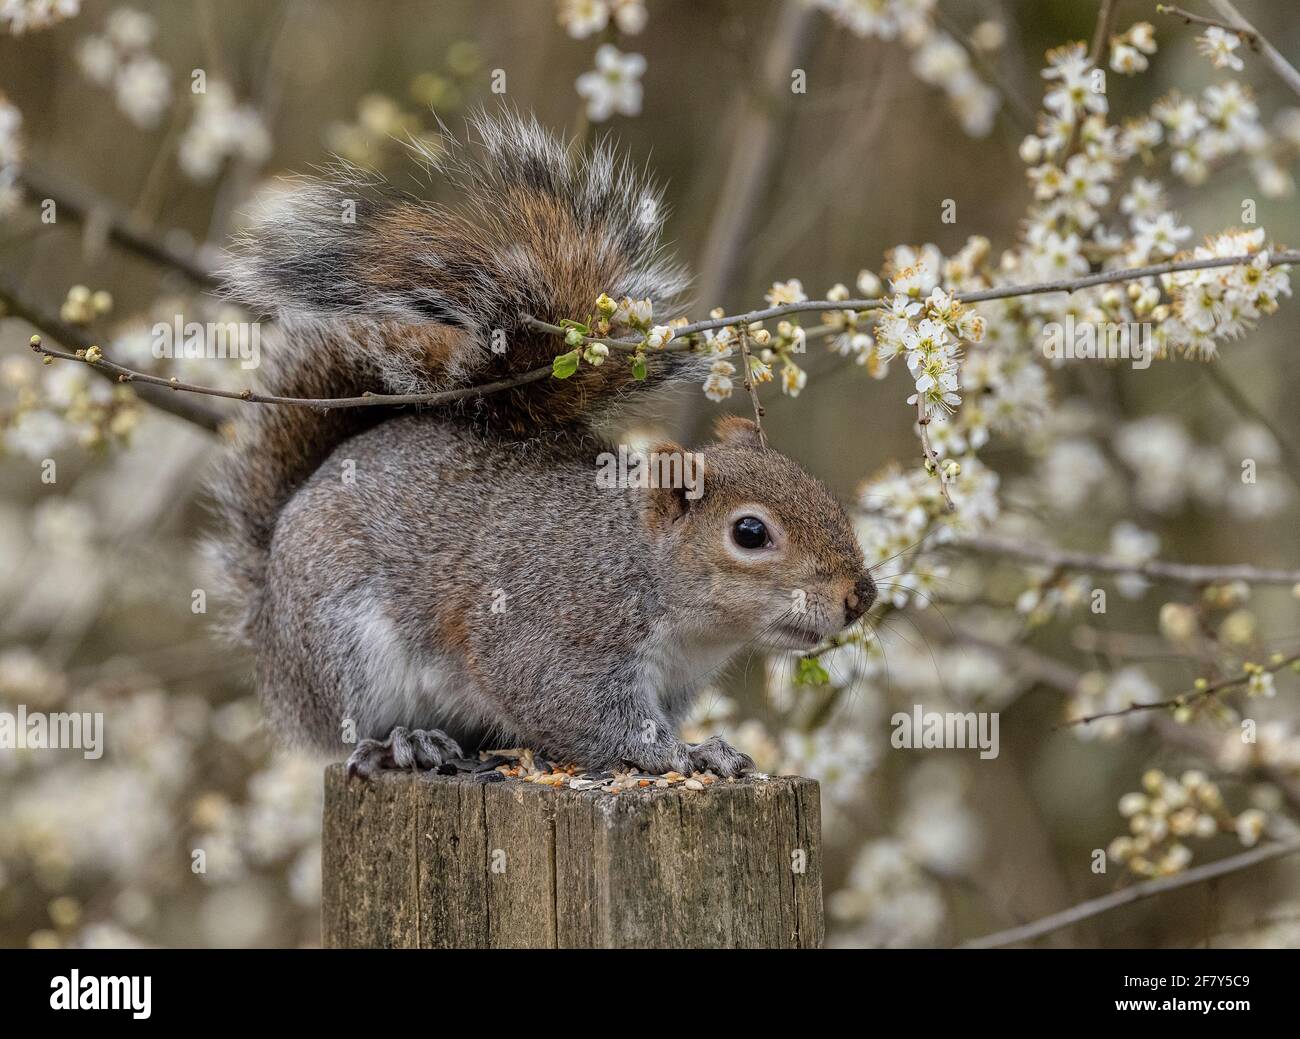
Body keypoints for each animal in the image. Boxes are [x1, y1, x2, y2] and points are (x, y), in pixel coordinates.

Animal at [209, 111, 875, 778]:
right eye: (750, 533)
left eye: (823, 493)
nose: (861, 597)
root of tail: (269, 630)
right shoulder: (555, 636)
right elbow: (587, 716)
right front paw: (685, 754)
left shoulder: (677, 682)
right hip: (343, 645)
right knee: (347, 732)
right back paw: (404, 742)